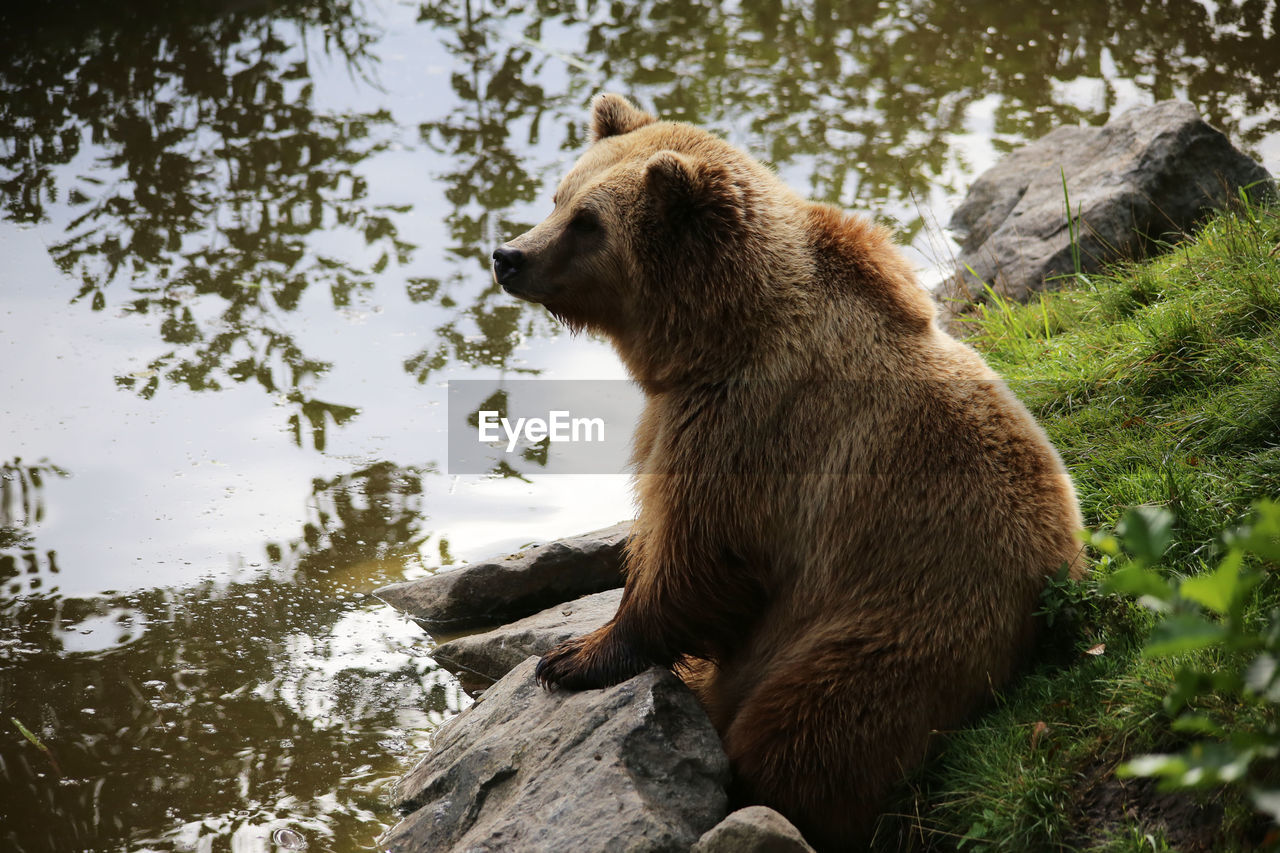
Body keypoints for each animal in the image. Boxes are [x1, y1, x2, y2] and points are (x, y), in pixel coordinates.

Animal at [488, 94, 1080, 850]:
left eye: (589, 222)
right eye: (560, 196)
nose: (509, 255)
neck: (716, 335)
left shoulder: (749, 425)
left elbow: (696, 552)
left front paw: (572, 656)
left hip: (878, 638)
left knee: (805, 736)